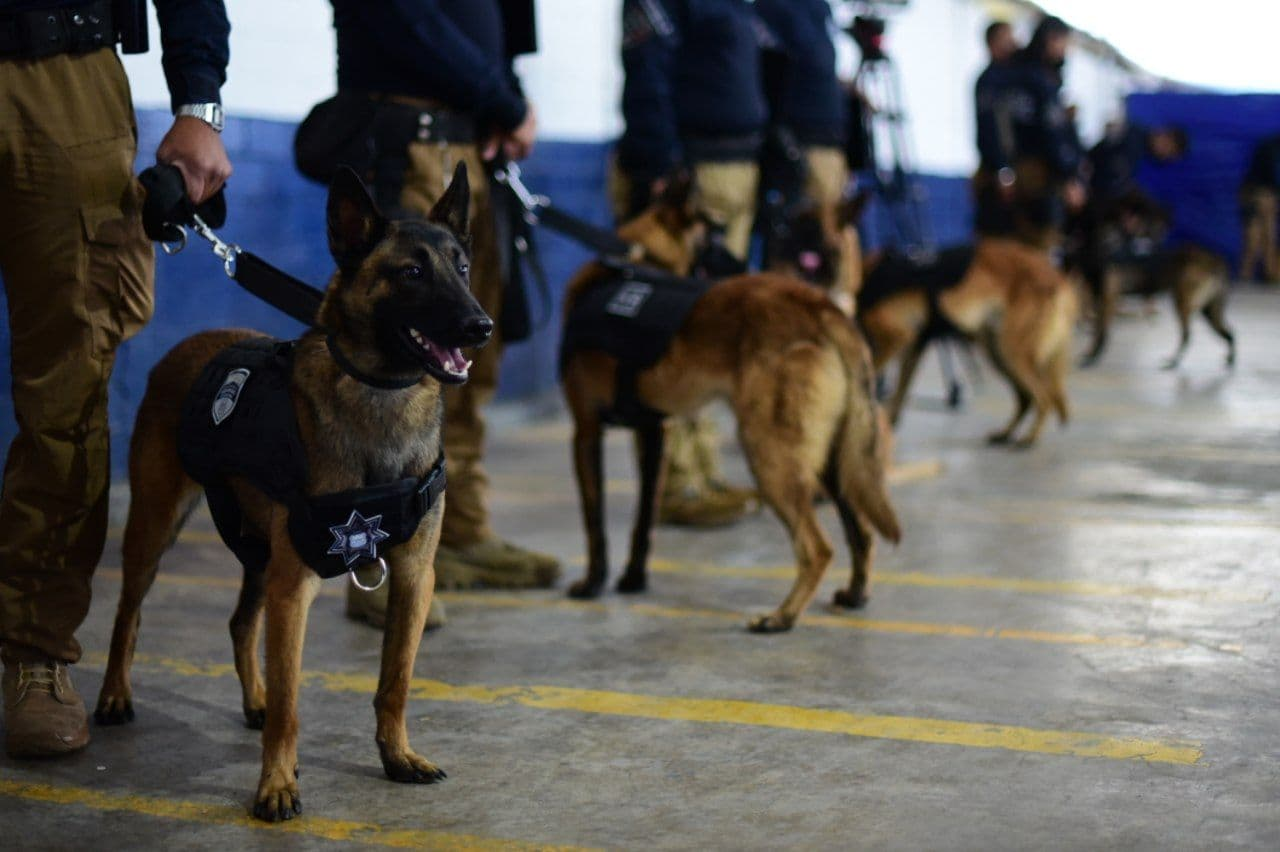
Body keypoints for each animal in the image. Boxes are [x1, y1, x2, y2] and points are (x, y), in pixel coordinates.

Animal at [92, 163, 491, 818]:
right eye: (411, 273)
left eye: (461, 267)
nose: (481, 327)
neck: (383, 393)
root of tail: (188, 344)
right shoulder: (294, 585)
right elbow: (292, 703)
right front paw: (277, 783)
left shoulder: (413, 577)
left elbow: (395, 682)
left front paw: (397, 757)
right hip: (156, 527)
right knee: (129, 614)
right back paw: (114, 696)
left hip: (259, 553)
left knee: (238, 624)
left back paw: (251, 700)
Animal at [560, 179, 901, 629]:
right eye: (716, 236)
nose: (746, 260)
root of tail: (819, 305)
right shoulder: (655, 433)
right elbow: (643, 521)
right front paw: (633, 578)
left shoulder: (586, 431)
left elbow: (594, 521)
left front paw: (593, 583)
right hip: (832, 458)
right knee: (860, 532)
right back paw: (854, 595)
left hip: (768, 452)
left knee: (817, 547)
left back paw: (781, 617)